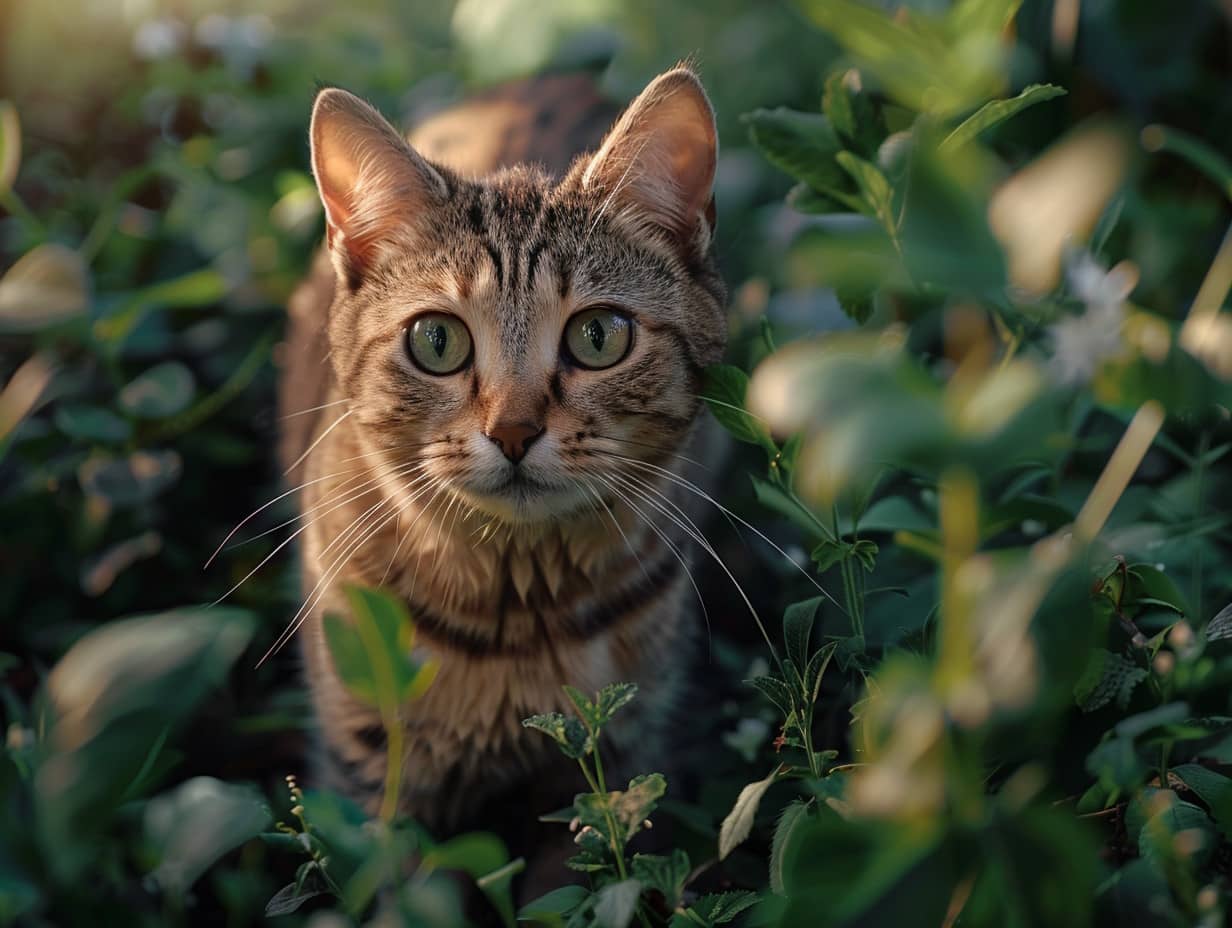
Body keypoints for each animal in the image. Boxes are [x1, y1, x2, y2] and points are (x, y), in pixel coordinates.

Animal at [278, 65, 719, 847]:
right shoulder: (369, 772)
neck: (516, 612)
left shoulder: (622, 759)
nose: (514, 432)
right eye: (437, 341)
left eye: (598, 336)